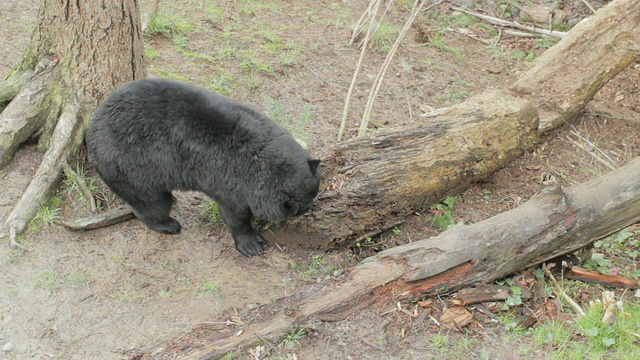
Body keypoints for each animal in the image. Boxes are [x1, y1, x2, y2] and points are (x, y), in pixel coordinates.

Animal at [86, 80, 320, 258]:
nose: (311, 208)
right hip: (129, 168)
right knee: (153, 203)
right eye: (297, 208)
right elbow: (234, 215)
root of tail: (92, 127)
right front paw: (252, 244)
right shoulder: (229, 182)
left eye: (314, 194)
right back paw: (168, 224)